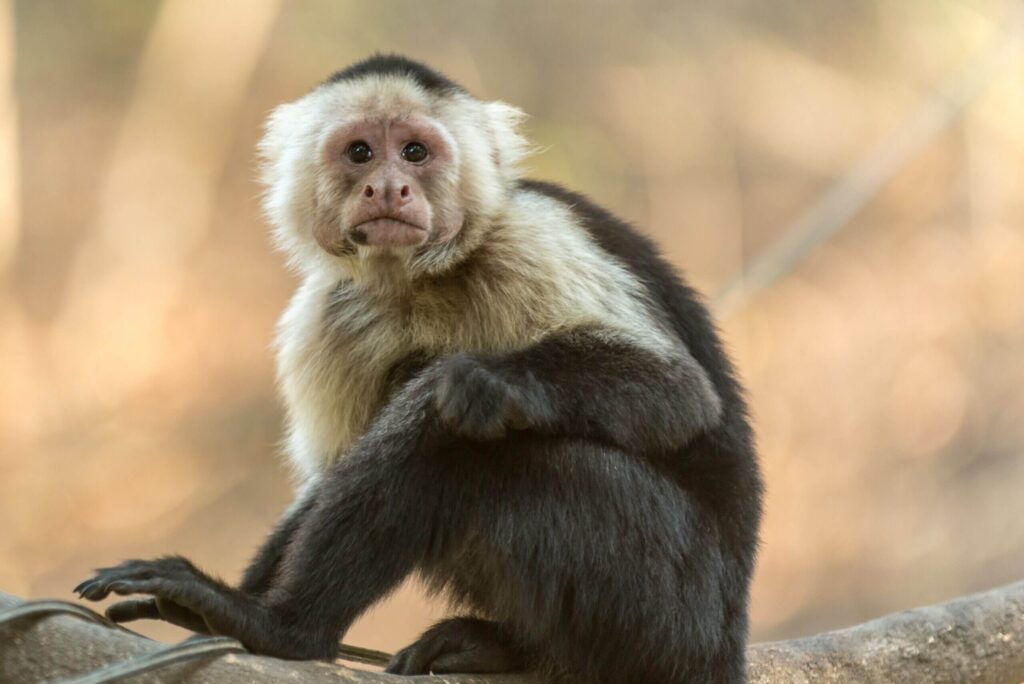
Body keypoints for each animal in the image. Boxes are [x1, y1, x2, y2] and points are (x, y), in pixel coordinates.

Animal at [74, 54, 763, 683]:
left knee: (480, 438)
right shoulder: (328, 313)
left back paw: (286, 628)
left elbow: (679, 393)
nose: (387, 187)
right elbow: (329, 476)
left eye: (414, 152)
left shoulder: (531, 238)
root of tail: (725, 641)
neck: (418, 277)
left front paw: (488, 381)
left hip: (676, 609)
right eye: (359, 152)